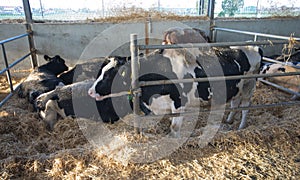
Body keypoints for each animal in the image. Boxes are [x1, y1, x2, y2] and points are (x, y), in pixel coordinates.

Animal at [88, 46, 262, 138]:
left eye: (109, 75)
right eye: (101, 71)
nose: (90, 92)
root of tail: (251, 46)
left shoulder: (179, 103)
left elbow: (174, 128)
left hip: (249, 86)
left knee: (245, 107)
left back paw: (241, 126)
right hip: (237, 88)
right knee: (235, 103)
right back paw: (229, 120)